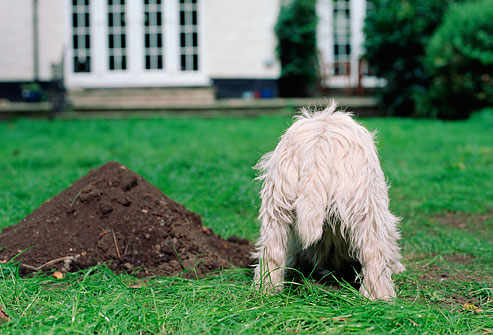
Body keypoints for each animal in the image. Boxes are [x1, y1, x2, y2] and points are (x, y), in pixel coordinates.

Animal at [254, 102, 404, 302]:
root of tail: (320, 143)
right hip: (366, 209)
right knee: (373, 253)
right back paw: (379, 296)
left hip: (276, 207)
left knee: (272, 251)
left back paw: (267, 289)